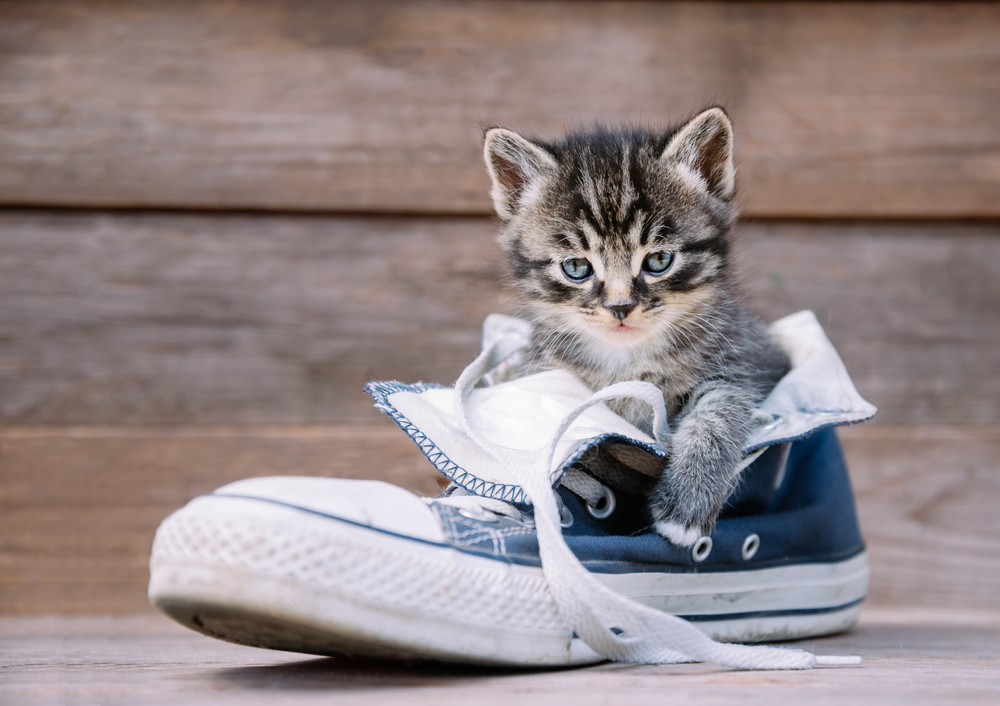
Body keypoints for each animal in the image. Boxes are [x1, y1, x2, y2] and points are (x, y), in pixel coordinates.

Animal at [482, 108, 788, 544]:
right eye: (576, 267)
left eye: (659, 260)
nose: (620, 306)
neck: (627, 360)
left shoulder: (736, 361)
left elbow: (718, 414)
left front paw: (687, 502)